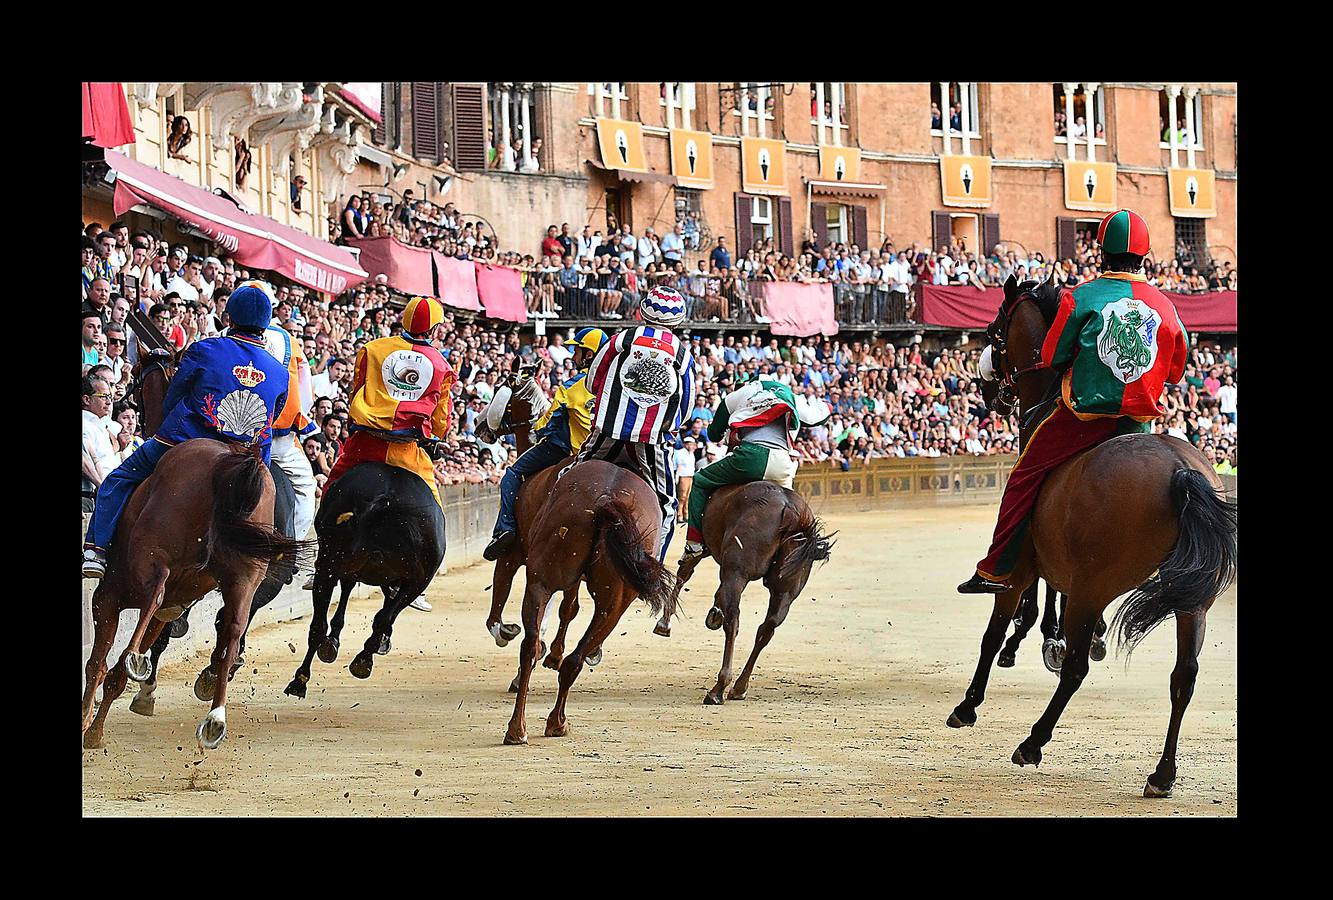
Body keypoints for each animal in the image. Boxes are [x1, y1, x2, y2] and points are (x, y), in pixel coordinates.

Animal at [79, 440, 305, 752]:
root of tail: (230, 463)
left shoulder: (107, 597)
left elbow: (98, 665)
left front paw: (87, 723)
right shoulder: (162, 614)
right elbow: (115, 673)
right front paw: (95, 729)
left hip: (153, 553)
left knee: (156, 592)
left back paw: (136, 658)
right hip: (244, 580)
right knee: (233, 629)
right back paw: (215, 718)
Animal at [282, 458, 445, 698]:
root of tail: (383, 500)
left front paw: (333, 641)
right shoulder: (407, 582)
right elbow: (384, 613)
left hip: (329, 563)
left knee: (318, 625)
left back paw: (301, 679)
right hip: (413, 580)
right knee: (382, 616)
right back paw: (360, 659)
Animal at [506, 458, 682, 746]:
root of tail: (606, 500)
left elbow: (568, 609)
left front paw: (554, 654)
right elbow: (569, 609)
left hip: (543, 580)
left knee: (533, 648)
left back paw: (519, 728)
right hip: (614, 600)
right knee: (572, 655)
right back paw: (555, 721)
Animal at [666, 482, 831, 709]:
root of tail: (789, 510)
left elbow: (685, 571)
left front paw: (665, 620)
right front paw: (714, 612)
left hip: (737, 573)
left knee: (733, 620)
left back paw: (718, 689)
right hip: (785, 590)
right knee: (767, 628)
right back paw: (739, 687)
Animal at [949, 273, 1237, 794]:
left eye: (995, 330)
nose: (986, 388)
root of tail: (1180, 471)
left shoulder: (1021, 567)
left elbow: (994, 629)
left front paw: (971, 701)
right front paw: (1049, 638)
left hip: (1094, 585)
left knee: (1077, 670)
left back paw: (1033, 741)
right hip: (1193, 602)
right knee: (1183, 677)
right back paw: (1162, 773)